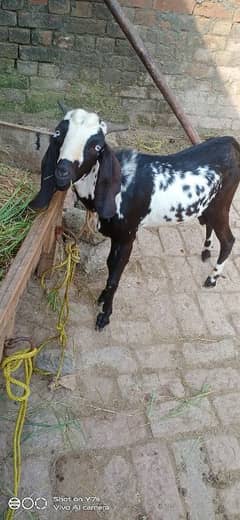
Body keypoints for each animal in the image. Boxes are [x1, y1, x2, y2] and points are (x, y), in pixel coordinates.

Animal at [29, 107, 240, 332]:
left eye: (97, 146)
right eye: (58, 133)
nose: (62, 173)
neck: (121, 185)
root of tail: (230, 142)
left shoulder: (127, 236)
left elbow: (115, 276)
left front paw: (104, 316)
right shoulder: (115, 236)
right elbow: (110, 265)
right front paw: (102, 297)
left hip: (222, 204)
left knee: (228, 240)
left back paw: (212, 278)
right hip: (208, 207)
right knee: (209, 225)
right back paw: (206, 251)